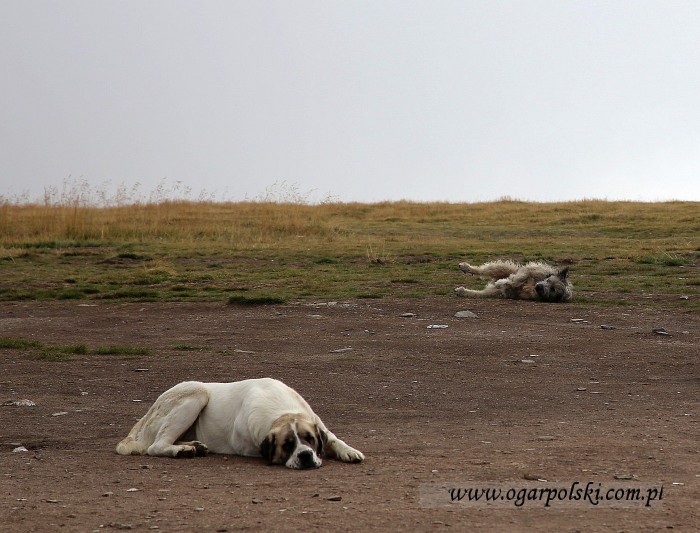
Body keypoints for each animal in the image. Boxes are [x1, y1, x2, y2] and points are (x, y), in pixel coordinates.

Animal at [115, 376, 364, 468]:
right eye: (287, 445)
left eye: (309, 439)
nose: (305, 455)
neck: (282, 412)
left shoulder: (317, 424)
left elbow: (333, 438)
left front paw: (349, 451)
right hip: (196, 392)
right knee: (155, 446)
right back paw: (182, 451)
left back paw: (193, 446)